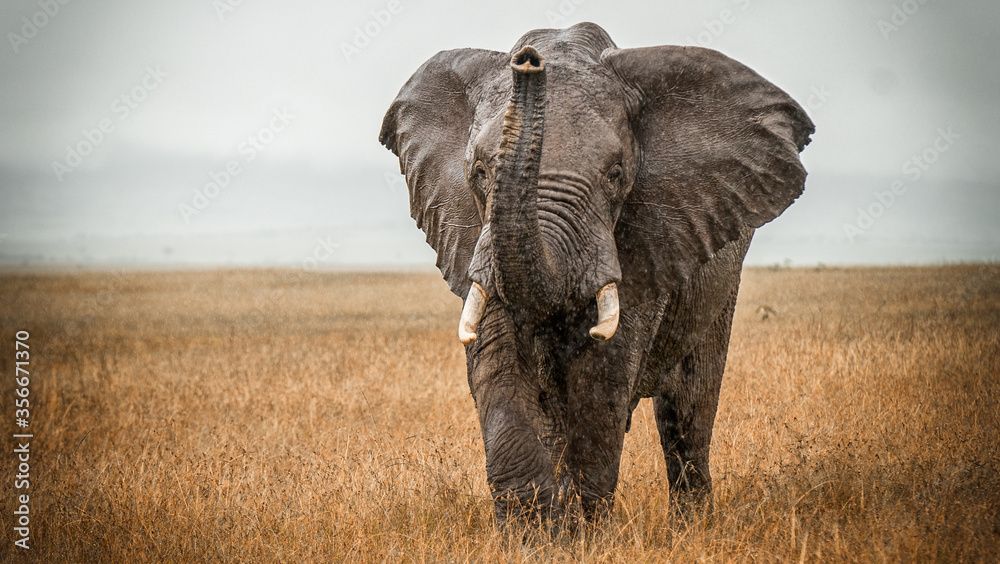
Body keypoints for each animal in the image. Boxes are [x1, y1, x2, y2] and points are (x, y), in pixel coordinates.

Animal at [379, 22, 813, 524]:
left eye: (615, 174)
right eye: (480, 173)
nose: (528, 62)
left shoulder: (648, 242)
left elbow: (604, 370)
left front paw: (581, 527)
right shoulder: (479, 243)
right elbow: (498, 360)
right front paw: (535, 532)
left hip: (722, 278)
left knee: (688, 408)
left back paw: (692, 527)